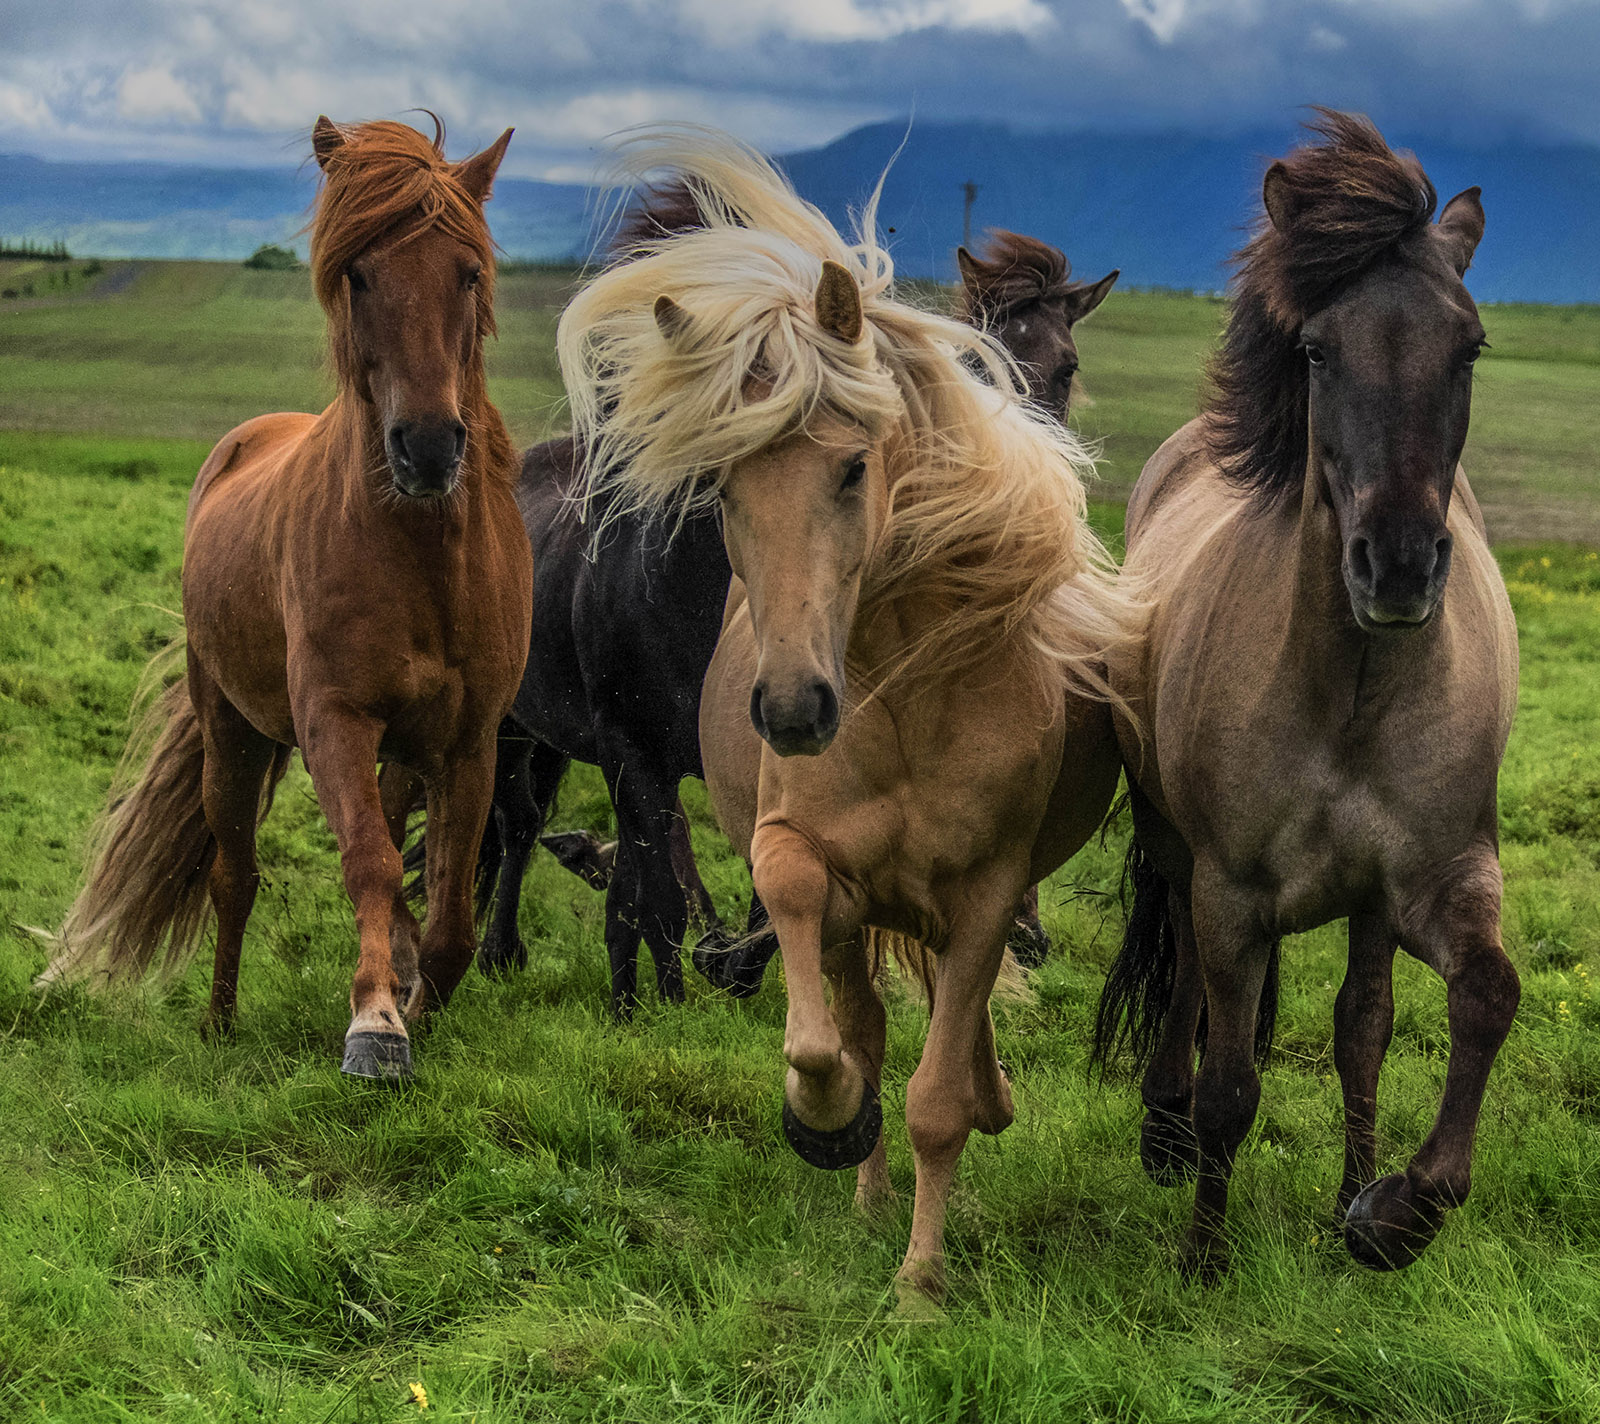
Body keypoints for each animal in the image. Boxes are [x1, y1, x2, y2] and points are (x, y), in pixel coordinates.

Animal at [38, 117, 533, 1082]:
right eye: (359, 272)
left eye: (468, 271)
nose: (426, 448)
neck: (425, 558)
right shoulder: (335, 718)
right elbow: (370, 866)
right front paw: (376, 1020)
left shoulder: (468, 741)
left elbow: (452, 920)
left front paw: (417, 1004)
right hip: (231, 731)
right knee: (237, 875)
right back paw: (221, 1022)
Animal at [418, 212, 1116, 1017]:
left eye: (1066, 368)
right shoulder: (634, 753)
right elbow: (662, 895)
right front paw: (666, 996)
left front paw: (715, 967)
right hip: (507, 728)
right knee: (517, 823)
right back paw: (504, 951)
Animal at [556, 128, 1137, 1302]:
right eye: (721, 485)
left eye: (854, 466)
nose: (790, 708)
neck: (908, 699)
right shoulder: (801, 855)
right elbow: (824, 1021)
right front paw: (825, 1119)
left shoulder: (983, 893)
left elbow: (938, 1095)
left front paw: (919, 1283)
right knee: (862, 1018)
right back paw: (861, 1179)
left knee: (945, 1028)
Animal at [1092, 111, 1518, 1276]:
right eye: (1318, 350)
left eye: (1468, 347)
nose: (1401, 565)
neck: (1353, 693)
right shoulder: (1232, 891)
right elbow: (1233, 1081)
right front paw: (1202, 1256)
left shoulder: (1434, 877)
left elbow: (1474, 999)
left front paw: (1389, 1209)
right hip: (1177, 851)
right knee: (1190, 982)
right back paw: (1164, 1128)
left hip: (1365, 905)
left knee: (1359, 1024)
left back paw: (1346, 1193)